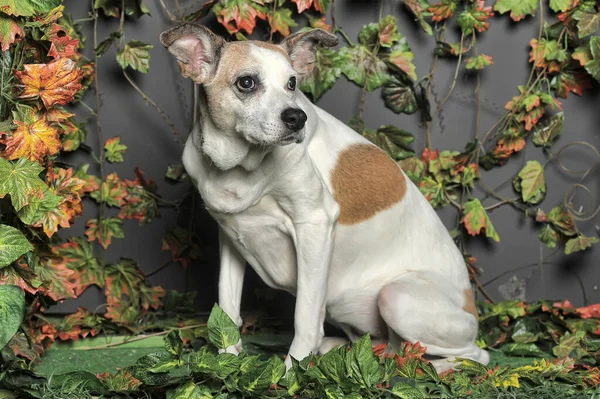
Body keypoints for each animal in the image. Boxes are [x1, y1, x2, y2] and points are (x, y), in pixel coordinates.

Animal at [161, 23, 492, 374]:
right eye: (246, 83)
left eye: (292, 83)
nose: (296, 118)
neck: (240, 167)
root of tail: (472, 308)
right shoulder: (230, 235)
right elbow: (227, 305)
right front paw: (226, 360)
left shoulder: (315, 225)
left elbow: (305, 316)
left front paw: (292, 372)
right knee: (389, 346)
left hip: (398, 298)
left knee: (475, 355)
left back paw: (427, 368)